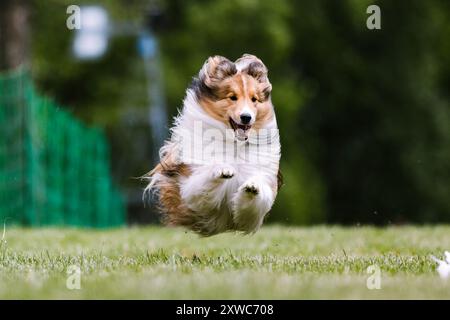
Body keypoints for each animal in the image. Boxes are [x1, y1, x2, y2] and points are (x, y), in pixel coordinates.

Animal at [145, 54, 282, 235]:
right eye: (232, 97)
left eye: (254, 99)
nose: (246, 117)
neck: (235, 145)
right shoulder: (190, 190)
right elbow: (203, 184)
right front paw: (222, 170)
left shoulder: (260, 201)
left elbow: (258, 198)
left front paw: (252, 187)